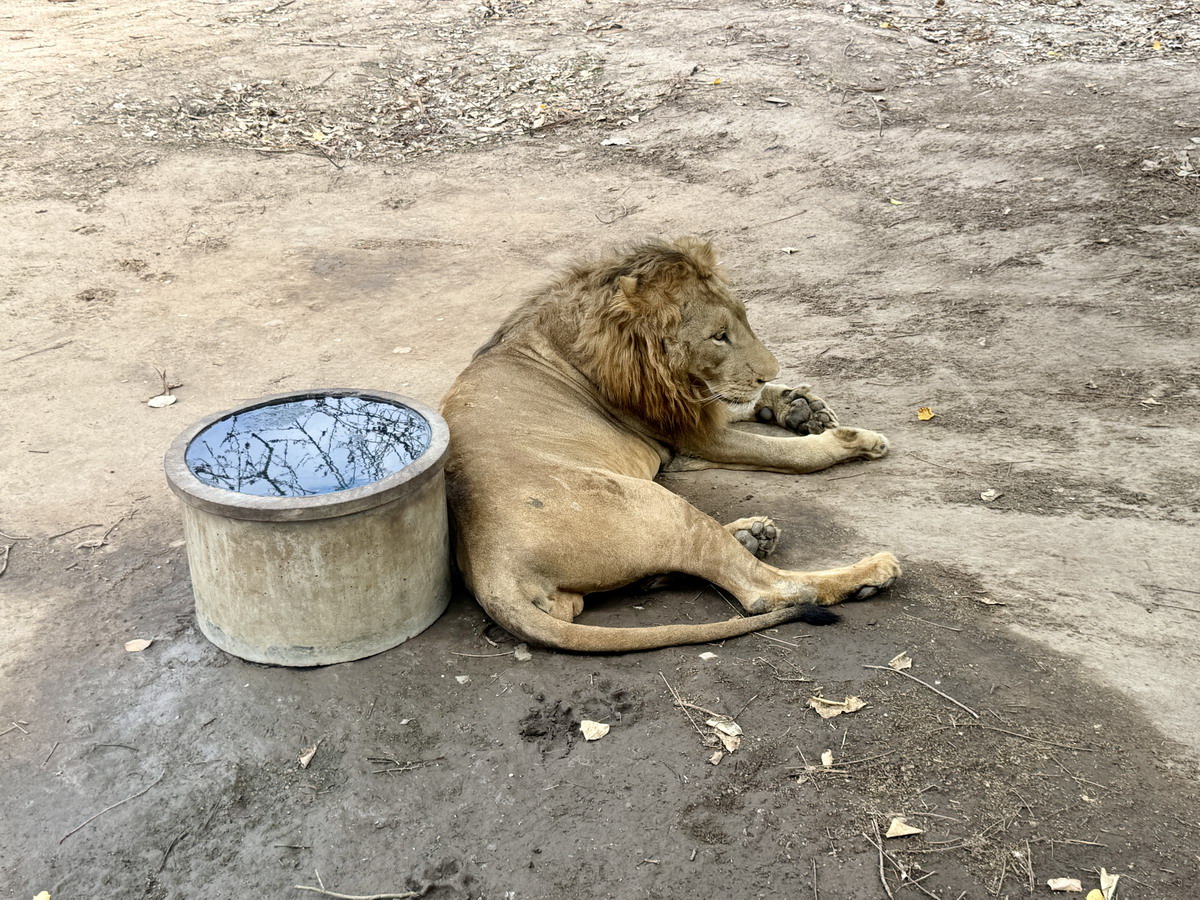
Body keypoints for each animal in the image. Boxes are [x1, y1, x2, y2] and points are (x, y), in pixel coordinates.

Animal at [444, 236, 902, 652]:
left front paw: (801, 408)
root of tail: (491, 569)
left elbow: (742, 402)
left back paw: (751, 535)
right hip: (666, 509)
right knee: (767, 589)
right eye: (719, 336)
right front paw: (855, 439)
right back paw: (869, 571)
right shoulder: (693, 434)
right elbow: (791, 453)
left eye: (744, 319)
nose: (770, 371)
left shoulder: (692, 414)